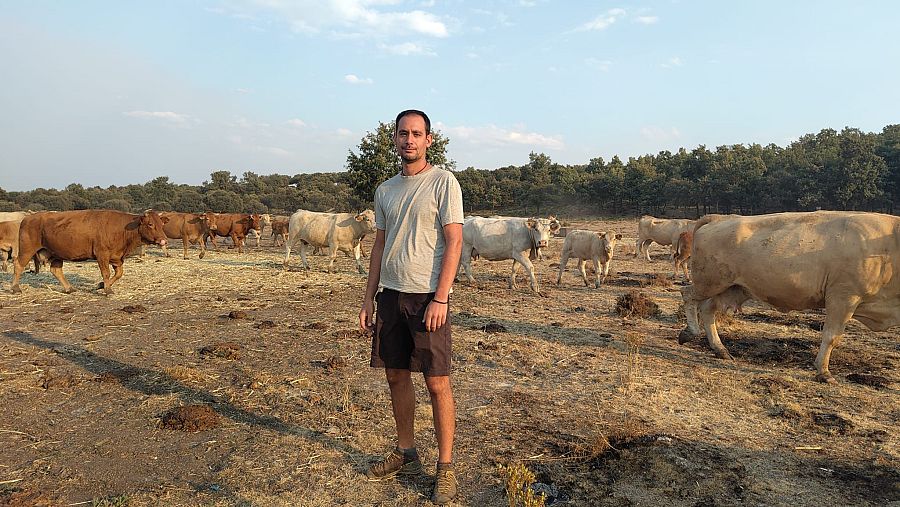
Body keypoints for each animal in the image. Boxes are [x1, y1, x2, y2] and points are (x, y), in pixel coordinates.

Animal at [11, 210, 169, 294]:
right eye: (150, 224)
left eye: (162, 224)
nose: (164, 240)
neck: (122, 229)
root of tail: (28, 218)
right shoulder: (102, 254)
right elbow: (106, 273)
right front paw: (107, 289)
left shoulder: (117, 257)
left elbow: (118, 274)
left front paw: (101, 285)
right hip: (27, 249)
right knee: (18, 265)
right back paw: (15, 287)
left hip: (56, 253)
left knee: (56, 270)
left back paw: (69, 288)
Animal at [678, 211, 900, 383]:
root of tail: (719, 218)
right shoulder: (844, 297)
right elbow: (831, 337)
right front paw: (823, 372)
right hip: (710, 282)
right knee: (687, 295)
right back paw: (690, 332)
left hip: (731, 288)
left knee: (707, 309)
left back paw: (720, 349)